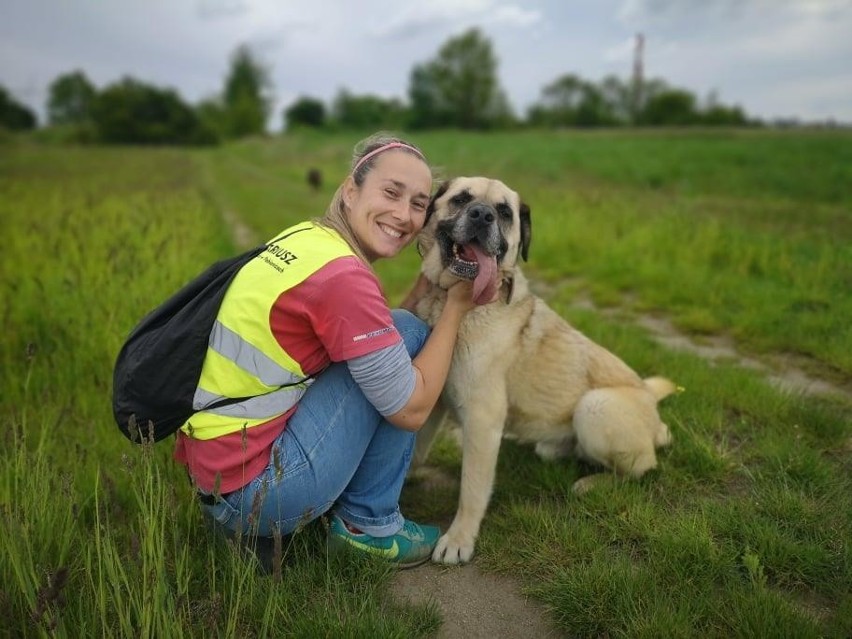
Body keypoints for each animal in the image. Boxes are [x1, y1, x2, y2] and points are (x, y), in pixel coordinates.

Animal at [412, 176, 680, 564]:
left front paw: (459, 539)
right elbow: (413, 450)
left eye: (504, 212)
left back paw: (591, 483)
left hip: (595, 407)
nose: (482, 215)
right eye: (462, 199)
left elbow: (471, 490)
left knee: (644, 466)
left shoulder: (482, 419)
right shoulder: (433, 402)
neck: (451, 304)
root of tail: (656, 416)